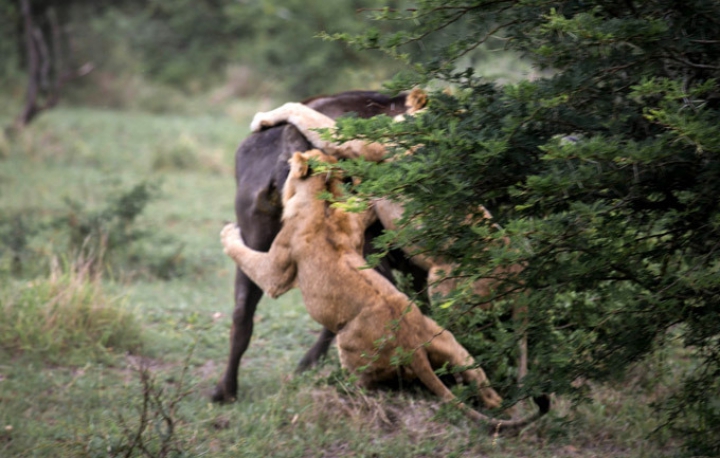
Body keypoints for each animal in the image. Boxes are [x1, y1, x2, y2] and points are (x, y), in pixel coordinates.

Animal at [219, 148, 544, 432]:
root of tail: (413, 347)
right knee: (486, 388)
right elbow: (365, 203)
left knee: (365, 386)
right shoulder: (356, 218)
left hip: (351, 343)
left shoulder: (277, 271)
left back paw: (341, 389)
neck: (321, 199)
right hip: (452, 344)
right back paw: (506, 408)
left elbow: (247, 256)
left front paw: (228, 231)